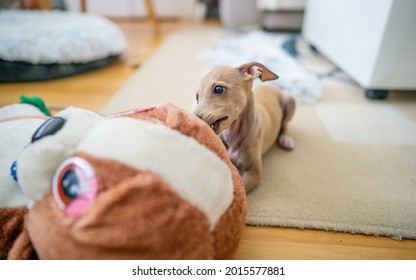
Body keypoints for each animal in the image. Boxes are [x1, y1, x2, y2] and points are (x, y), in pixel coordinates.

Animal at [195, 61, 296, 192]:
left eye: (218, 89)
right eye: (197, 97)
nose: (193, 118)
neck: (233, 135)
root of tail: (273, 87)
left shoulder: (253, 174)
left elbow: (238, 188)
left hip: (290, 101)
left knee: (285, 124)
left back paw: (286, 139)